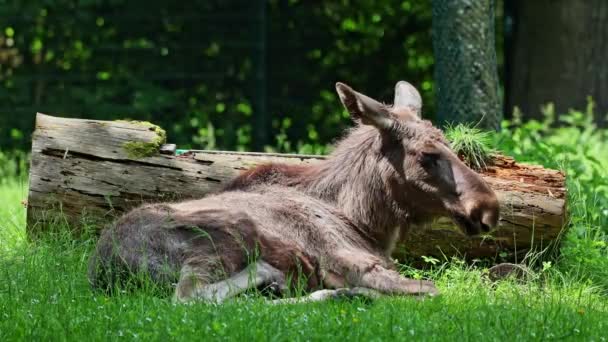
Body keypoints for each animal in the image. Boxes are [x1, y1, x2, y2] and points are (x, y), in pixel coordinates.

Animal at [89, 81, 498, 304]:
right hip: (223, 240)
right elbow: (430, 288)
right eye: (428, 155)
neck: (366, 221)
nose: (488, 207)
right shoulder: (358, 262)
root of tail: (107, 267)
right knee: (190, 298)